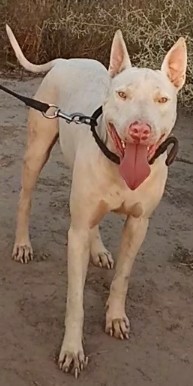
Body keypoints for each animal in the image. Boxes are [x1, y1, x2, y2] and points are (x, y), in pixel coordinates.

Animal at [6, 24, 187, 376]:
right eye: (122, 95)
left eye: (162, 99)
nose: (140, 130)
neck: (119, 162)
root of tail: (66, 60)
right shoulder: (74, 234)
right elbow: (75, 300)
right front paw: (72, 350)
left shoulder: (138, 224)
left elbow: (123, 278)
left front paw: (115, 317)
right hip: (37, 151)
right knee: (25, 199)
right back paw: (22, 244)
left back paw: (99, 250)